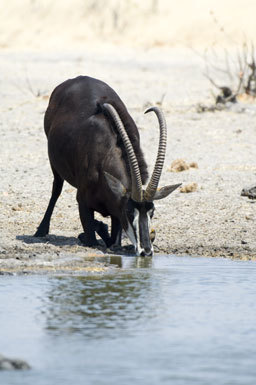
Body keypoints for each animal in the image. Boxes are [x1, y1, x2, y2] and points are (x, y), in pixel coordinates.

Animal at [34, 75, 180, 255]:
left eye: (152, 211)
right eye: (129, 211)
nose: (146, 251)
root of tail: (77, 78)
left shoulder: (115, 211)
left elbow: (113, 242)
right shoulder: (83, 203)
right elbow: (91, 239)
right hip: (54, 162)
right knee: (56, 189)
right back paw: (41, 230)